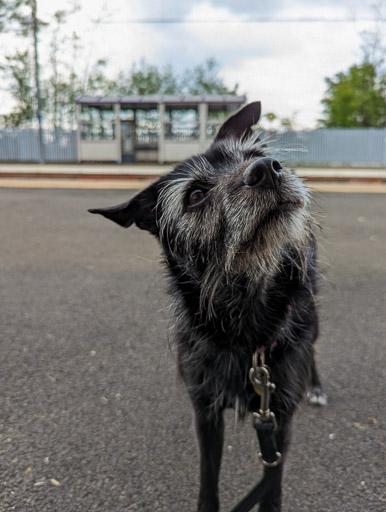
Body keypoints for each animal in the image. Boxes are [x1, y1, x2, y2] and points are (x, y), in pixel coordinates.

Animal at [89, 102, 326, 510]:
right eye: (196, 195)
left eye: (255, 155)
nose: (267, 169)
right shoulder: (206, 413)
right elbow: (208, 483)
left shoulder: (281, 420)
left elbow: (272, 486)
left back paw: (317, 386)